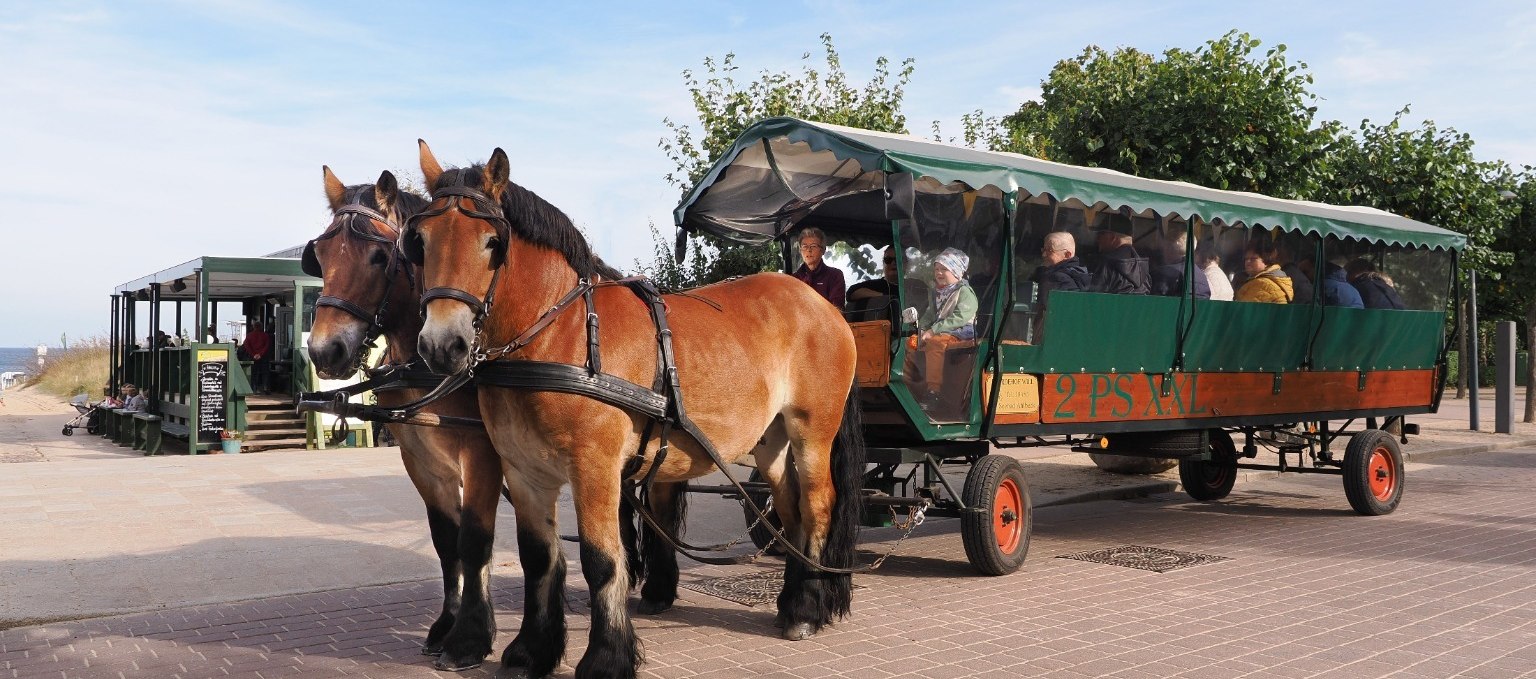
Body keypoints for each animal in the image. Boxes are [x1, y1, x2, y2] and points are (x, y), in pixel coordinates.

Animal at [302, 168, 506, 669]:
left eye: (379, 256)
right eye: (320, 255)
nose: (324, 351)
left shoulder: (483, 453)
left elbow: (476, 540)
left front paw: (472, 637)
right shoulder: (420, 456)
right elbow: (447, 539)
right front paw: (449, 624)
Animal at [405, 142, 866, 679]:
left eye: (492, 242)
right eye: (419, 242)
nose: (442, 345)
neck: (560, 334)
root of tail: (821, 304)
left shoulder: (595, 468)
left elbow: (603, 561)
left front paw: (606, 658)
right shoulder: (524, 472)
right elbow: (537, 558)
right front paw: (532, 651)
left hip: (811, 429)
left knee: (816, 506)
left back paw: (808, 609)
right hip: (769, 441)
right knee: (788, 508)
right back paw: (792, 602)